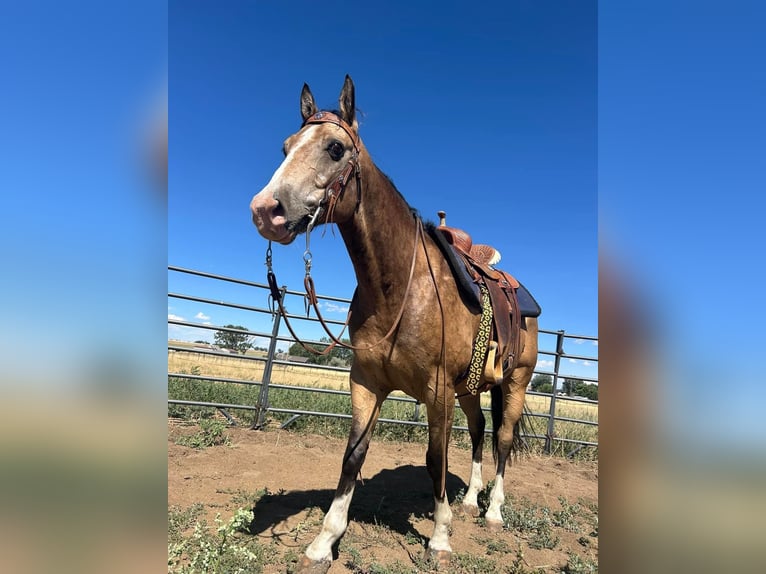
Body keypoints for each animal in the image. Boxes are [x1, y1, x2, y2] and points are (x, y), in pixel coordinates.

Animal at [252, 75, 540, 572]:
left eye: (334, 148)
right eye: (285, 146)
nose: (264, 210)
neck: (400, 288)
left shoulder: (437, 392)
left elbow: (434, 459)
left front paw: (440, 539)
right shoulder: (367, 382)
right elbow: (353, 456)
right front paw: (323, 541)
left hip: (516, 383)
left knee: (502, 439)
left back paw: (493, 511)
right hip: (471, 390)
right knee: (480, 431)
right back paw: (471, 501)